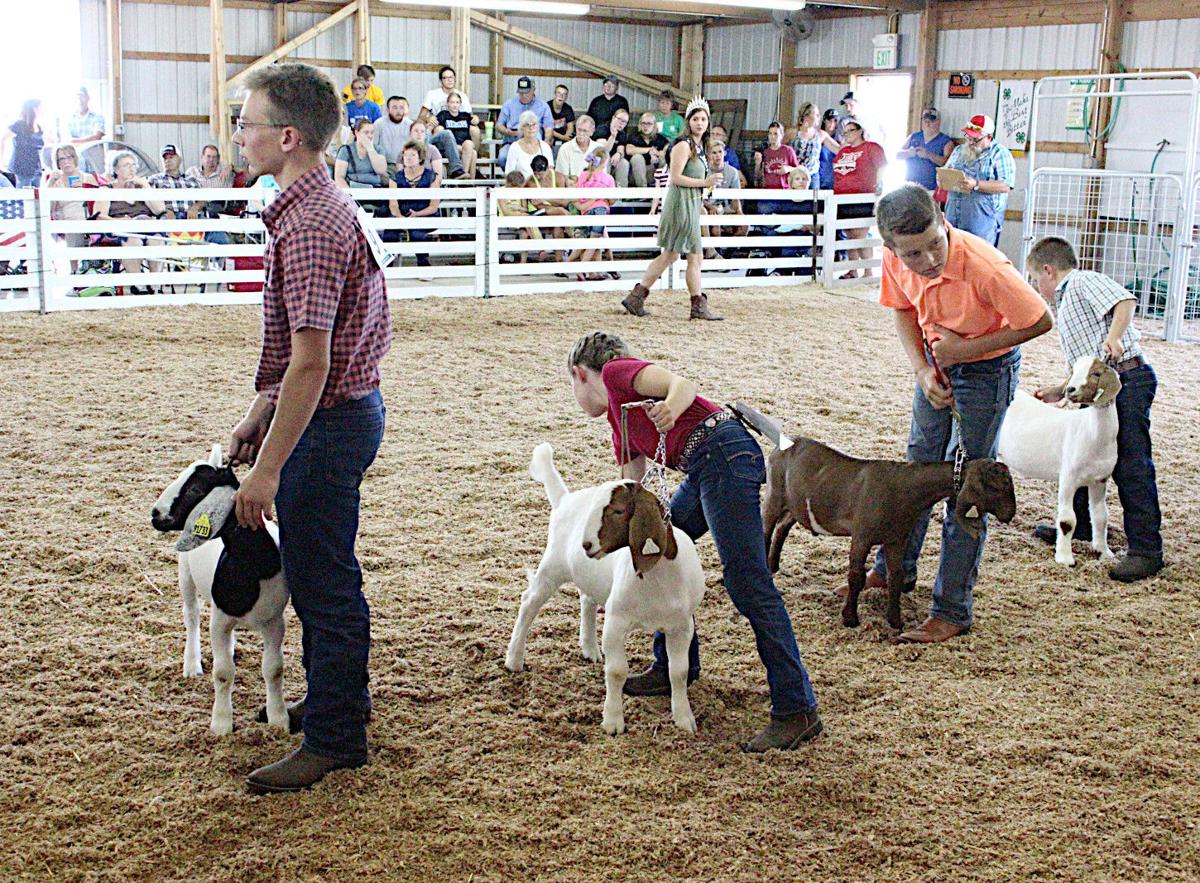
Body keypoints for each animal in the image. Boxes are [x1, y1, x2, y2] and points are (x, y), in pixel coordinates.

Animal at [758, 439, 1012, 633]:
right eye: (995, 486)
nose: (1010, 513)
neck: (904, 489)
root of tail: (784, 443)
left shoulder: (896, 539)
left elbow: (896, 576)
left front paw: (895, 621)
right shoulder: (861, 535)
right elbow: (856, 577)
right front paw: (850, 618)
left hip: (795, 505)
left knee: (782, 528)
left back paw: (773, 565)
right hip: (775, 494)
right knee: (766, 528)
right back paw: (766, 567)